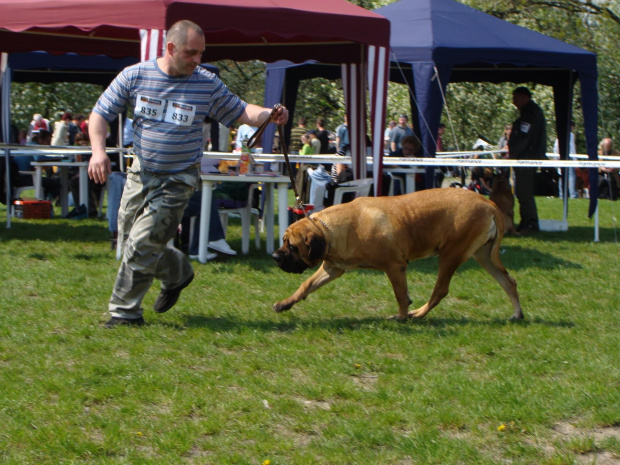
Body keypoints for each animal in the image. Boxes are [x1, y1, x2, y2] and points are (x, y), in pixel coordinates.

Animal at [274, 187, 520, 320]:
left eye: (292, 246)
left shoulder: (394, 266)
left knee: (440, 291)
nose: (276, 256)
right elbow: (306, 285)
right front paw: (285, 303)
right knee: (509, 282)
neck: (332, 230)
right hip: (484, 255)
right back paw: (518, 314)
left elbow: (401, 295)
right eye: (284, 241)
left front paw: (401, 317)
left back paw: (418, 314)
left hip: (451, 254)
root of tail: (487, 202)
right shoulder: (332, 268)